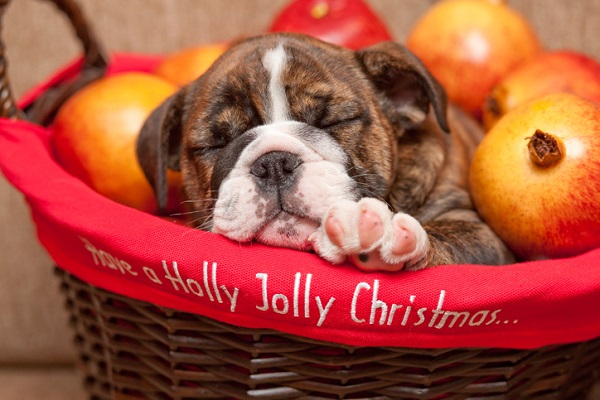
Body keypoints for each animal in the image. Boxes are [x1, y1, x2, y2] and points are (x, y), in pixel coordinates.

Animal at [138, 32, 512, 272]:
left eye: (335, 121)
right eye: (214, 144)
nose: (274, 163)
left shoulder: (478, 230)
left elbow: (442, 235)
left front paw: (384, 236)